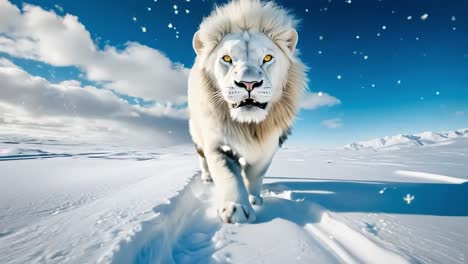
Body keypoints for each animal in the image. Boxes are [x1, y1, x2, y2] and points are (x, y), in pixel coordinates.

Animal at [186, 0, 308, 223]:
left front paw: (254, 198)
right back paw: (207, 177)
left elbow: (256, 174)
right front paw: (235, 208)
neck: (250, 126)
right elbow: (228, 175)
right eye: (227, 58)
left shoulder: (269, 145)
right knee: (202, 159)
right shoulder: (218, 144)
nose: (248, 83)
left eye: (267, 58)